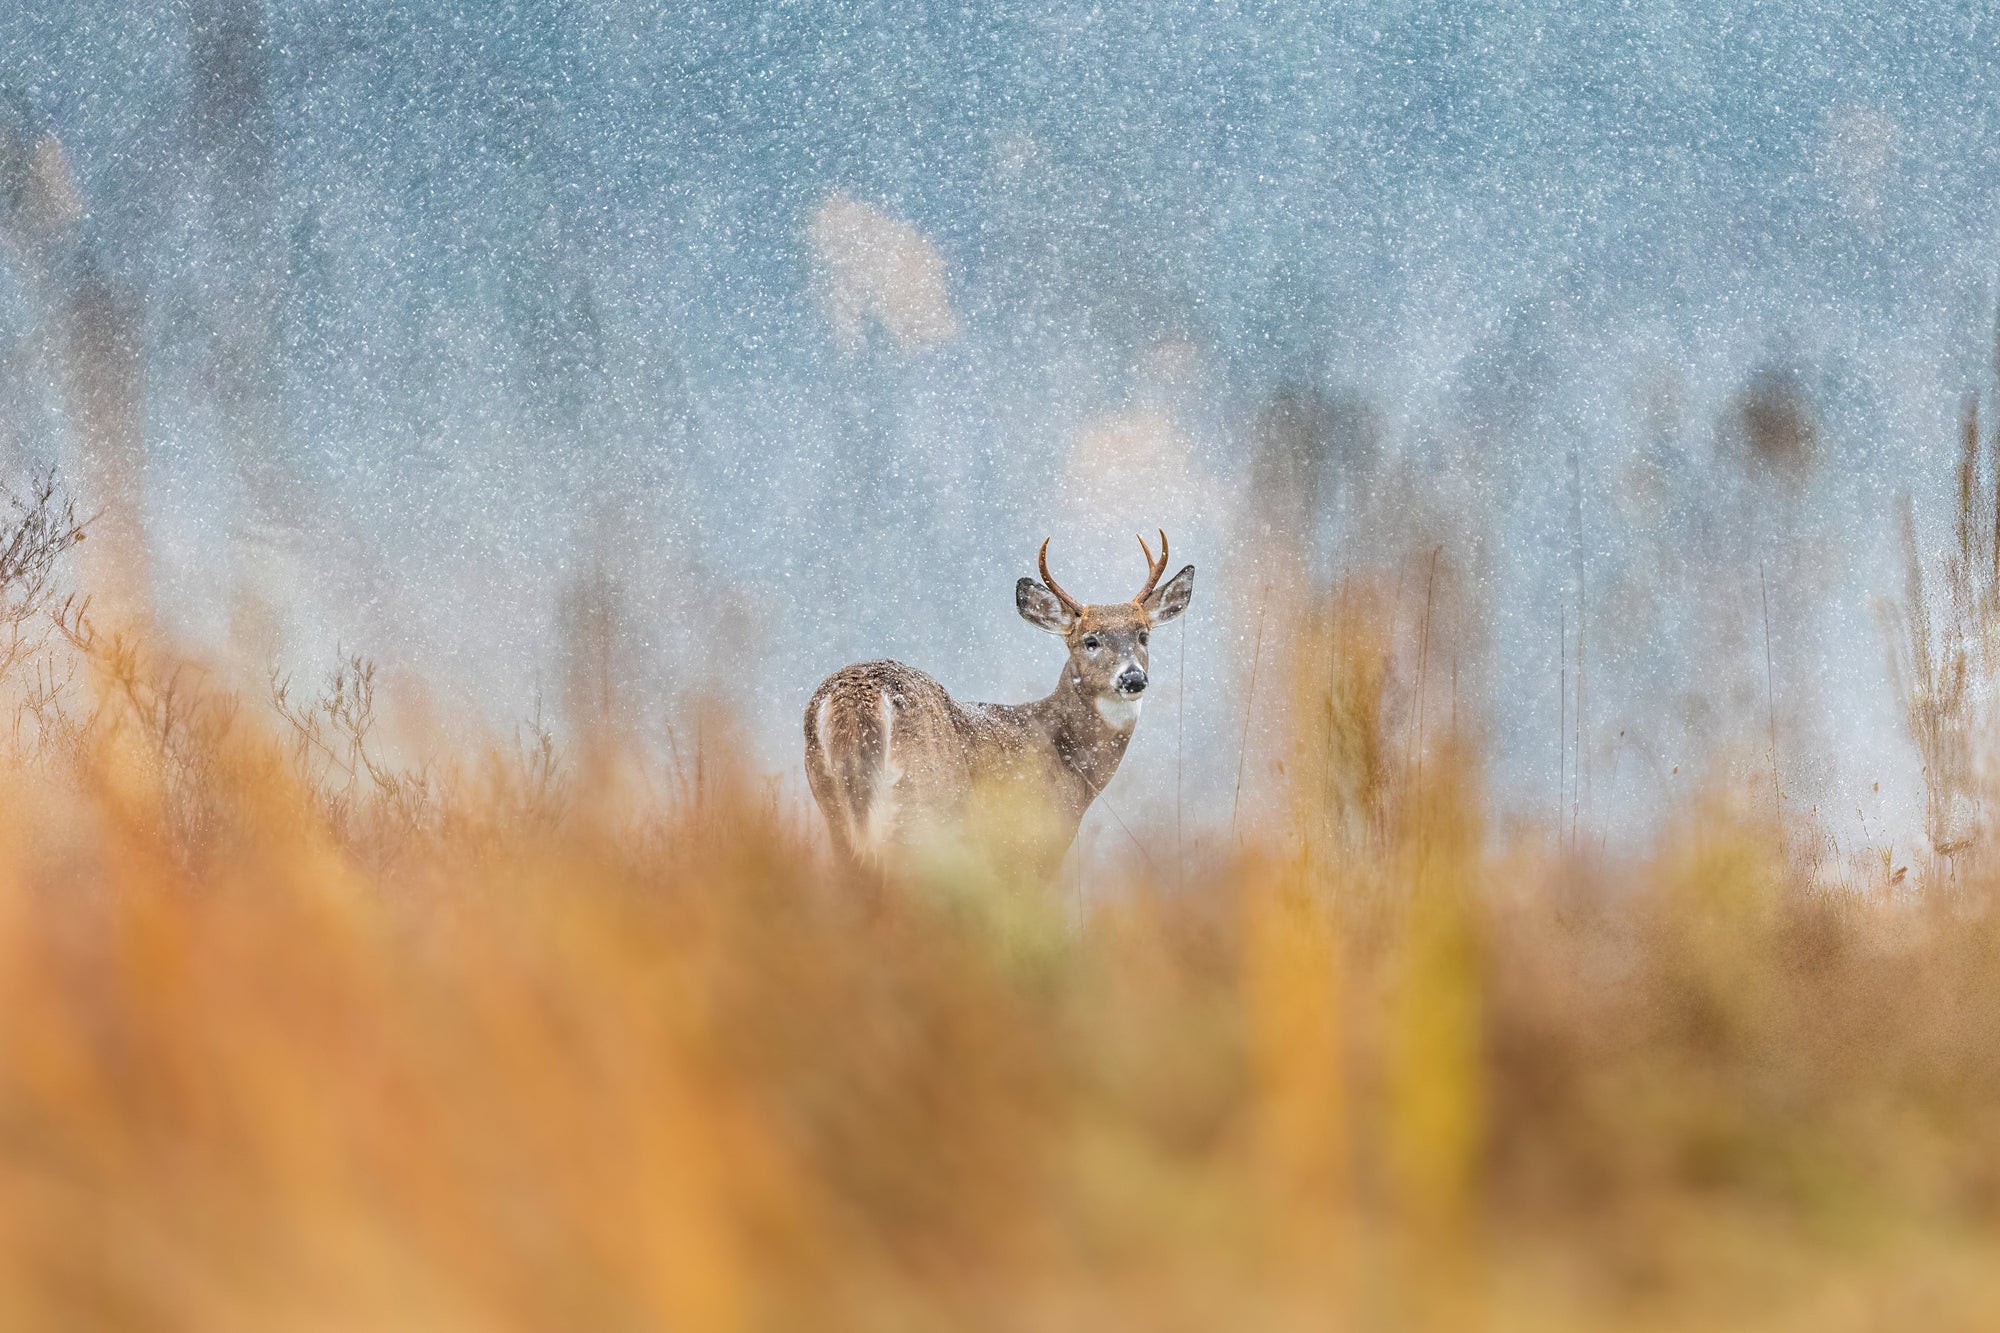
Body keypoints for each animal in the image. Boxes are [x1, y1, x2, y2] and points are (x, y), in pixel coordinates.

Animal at [804, 524, 1192, 876]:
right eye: (1090, 641)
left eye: (1143, 635)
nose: (1132, 678)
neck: (1071, 761)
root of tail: (855, 696)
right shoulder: (1034, 842)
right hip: (922, 804)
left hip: (832, 804)